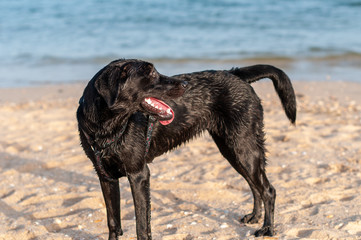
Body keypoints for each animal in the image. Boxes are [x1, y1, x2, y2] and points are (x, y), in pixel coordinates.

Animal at [76, 59, 296, 239]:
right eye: (151, 73)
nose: (184, 84)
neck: (107, 128)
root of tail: (235, 74)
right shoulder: (105, 177)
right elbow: (113, 222)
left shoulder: (139, 174)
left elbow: (142, 226)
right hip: (232, 150)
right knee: (255, 186)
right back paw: (254, 217)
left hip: (244, 148)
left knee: (268, 189)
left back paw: (267, 229)